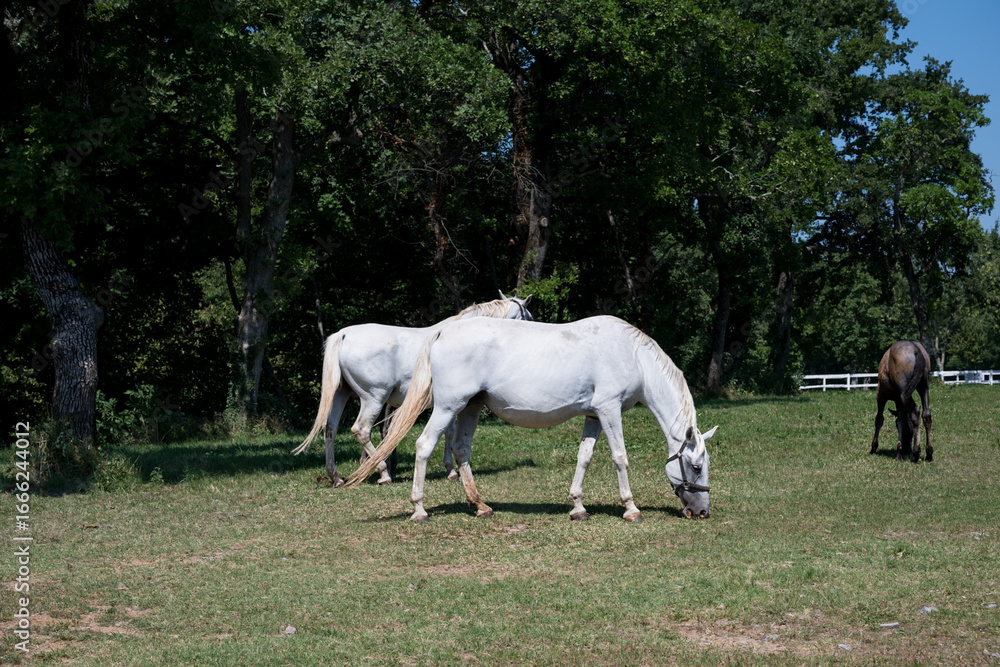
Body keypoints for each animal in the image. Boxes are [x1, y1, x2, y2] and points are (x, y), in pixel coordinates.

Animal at [292, 294, 532, 486]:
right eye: (528, 317)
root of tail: (343, 335)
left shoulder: (446, 404)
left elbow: (448, 431)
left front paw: (449, 468)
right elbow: (448, 432)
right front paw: (451, 470)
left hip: (342, 395)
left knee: (330, 428)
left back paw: (336, 476)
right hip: (374, 399)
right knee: (361, 430)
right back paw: (382, 472)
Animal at [344, 315, 717, 523]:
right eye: (696, 465)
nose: (702, 511)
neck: (631, 355)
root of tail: (441, 334)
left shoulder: (594, 415)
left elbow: (584, 458)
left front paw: (577, 506)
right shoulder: (609, 411)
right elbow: (620, 457)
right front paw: (631, 508)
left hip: (469, 408)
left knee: (461, 450)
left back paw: (480, 506)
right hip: (448, 407)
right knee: (424, 446)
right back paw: (419, 509)